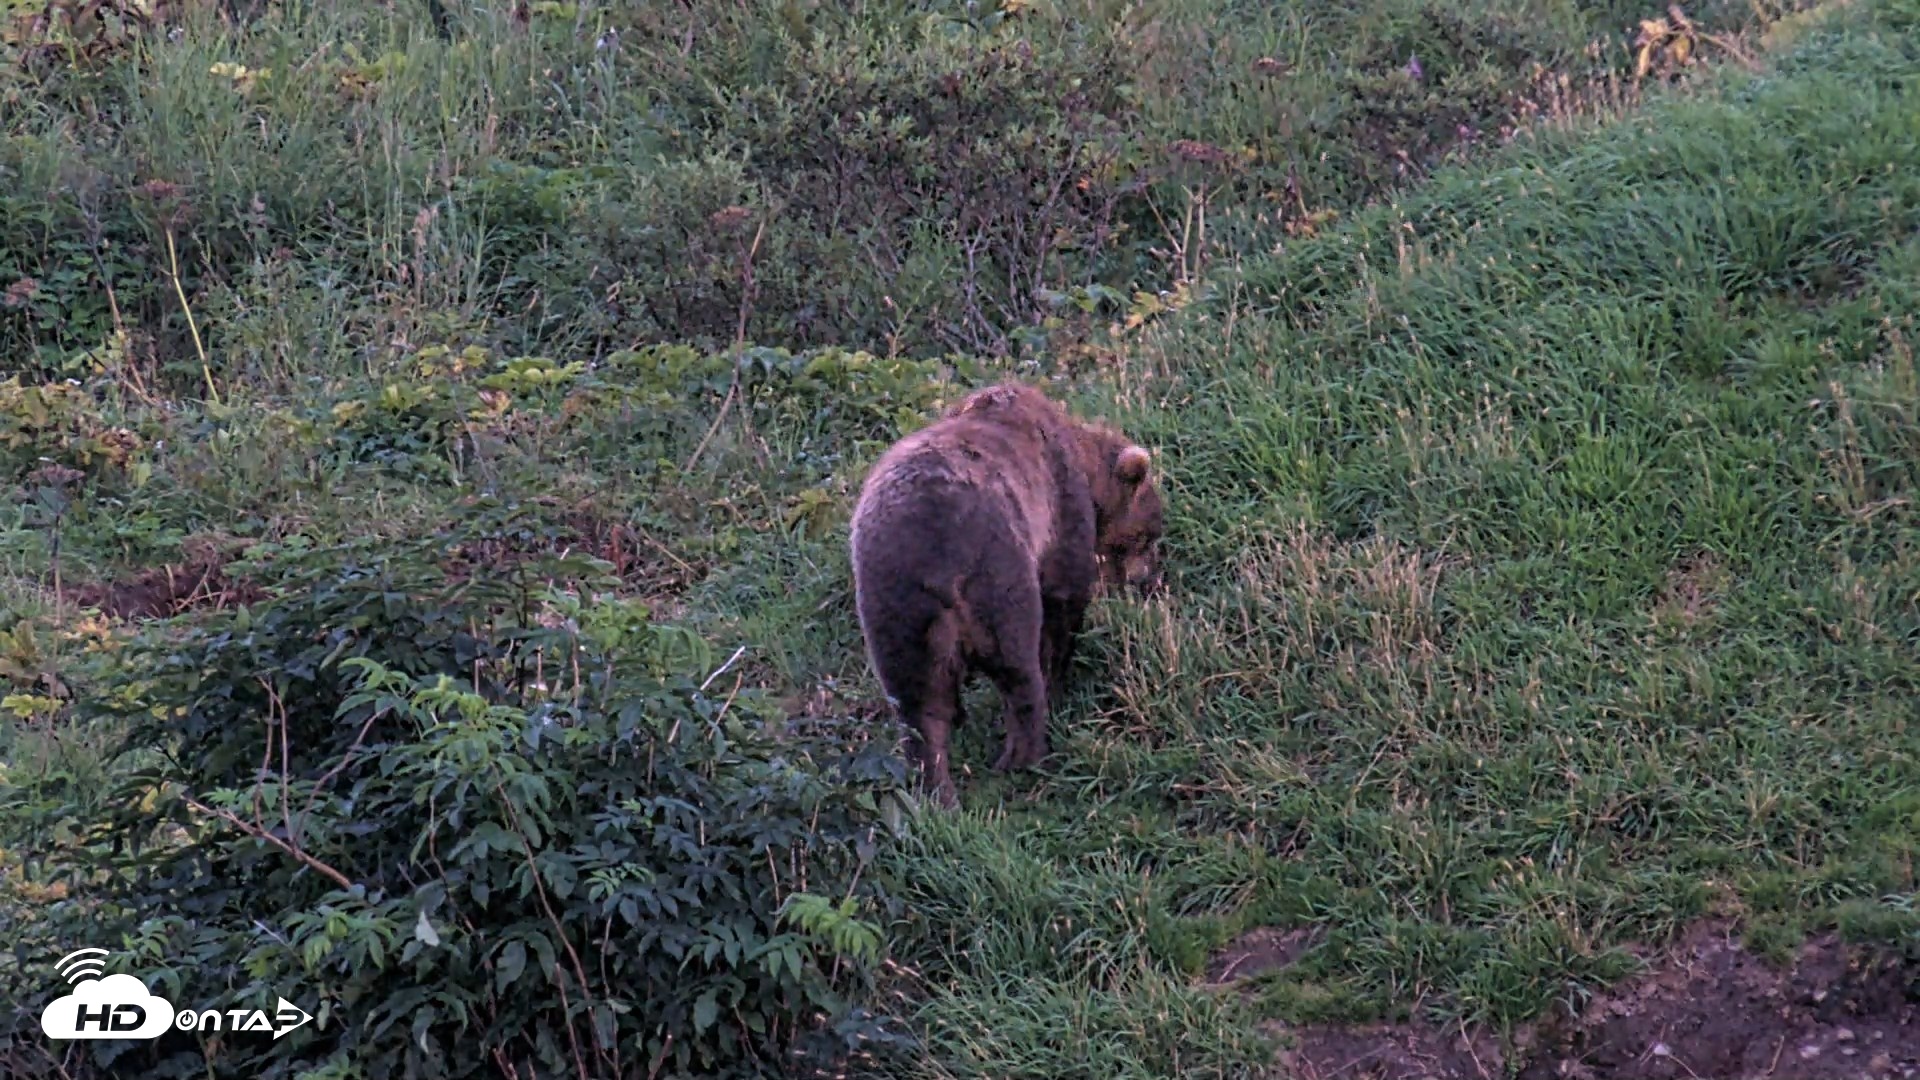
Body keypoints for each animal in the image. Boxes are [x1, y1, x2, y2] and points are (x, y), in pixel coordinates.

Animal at [848, 380, 1165, 809]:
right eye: (1148, 535)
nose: (1149, 580)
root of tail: (937, 563)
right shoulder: (1060, 508)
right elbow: (1065, 597)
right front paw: (1060, 676)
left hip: (894, 607)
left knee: (916, 704)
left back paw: (936, 788)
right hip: (997, 578)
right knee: (1017, 666)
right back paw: (1024, 755)